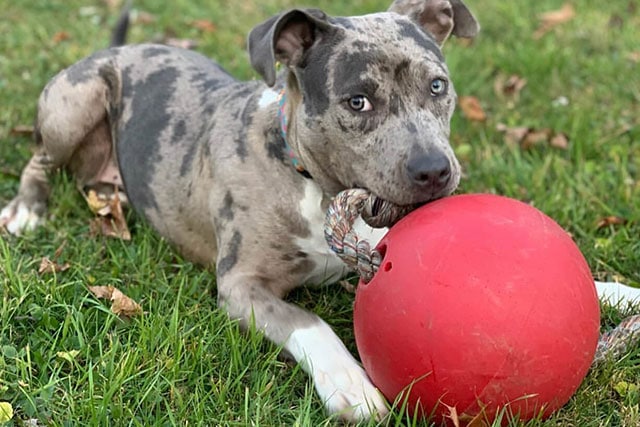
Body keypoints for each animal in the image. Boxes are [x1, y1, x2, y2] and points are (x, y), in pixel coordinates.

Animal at [0, 0, 636, 422]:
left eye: (437, 86)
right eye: (358, 102)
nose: (434, 172)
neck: (315, 181)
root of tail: (116, 47)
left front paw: (620, 292)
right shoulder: (242, 285)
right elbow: (311, 321)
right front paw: (351, 384)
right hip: (73, 100)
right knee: (38, 158)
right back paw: (27, 211)